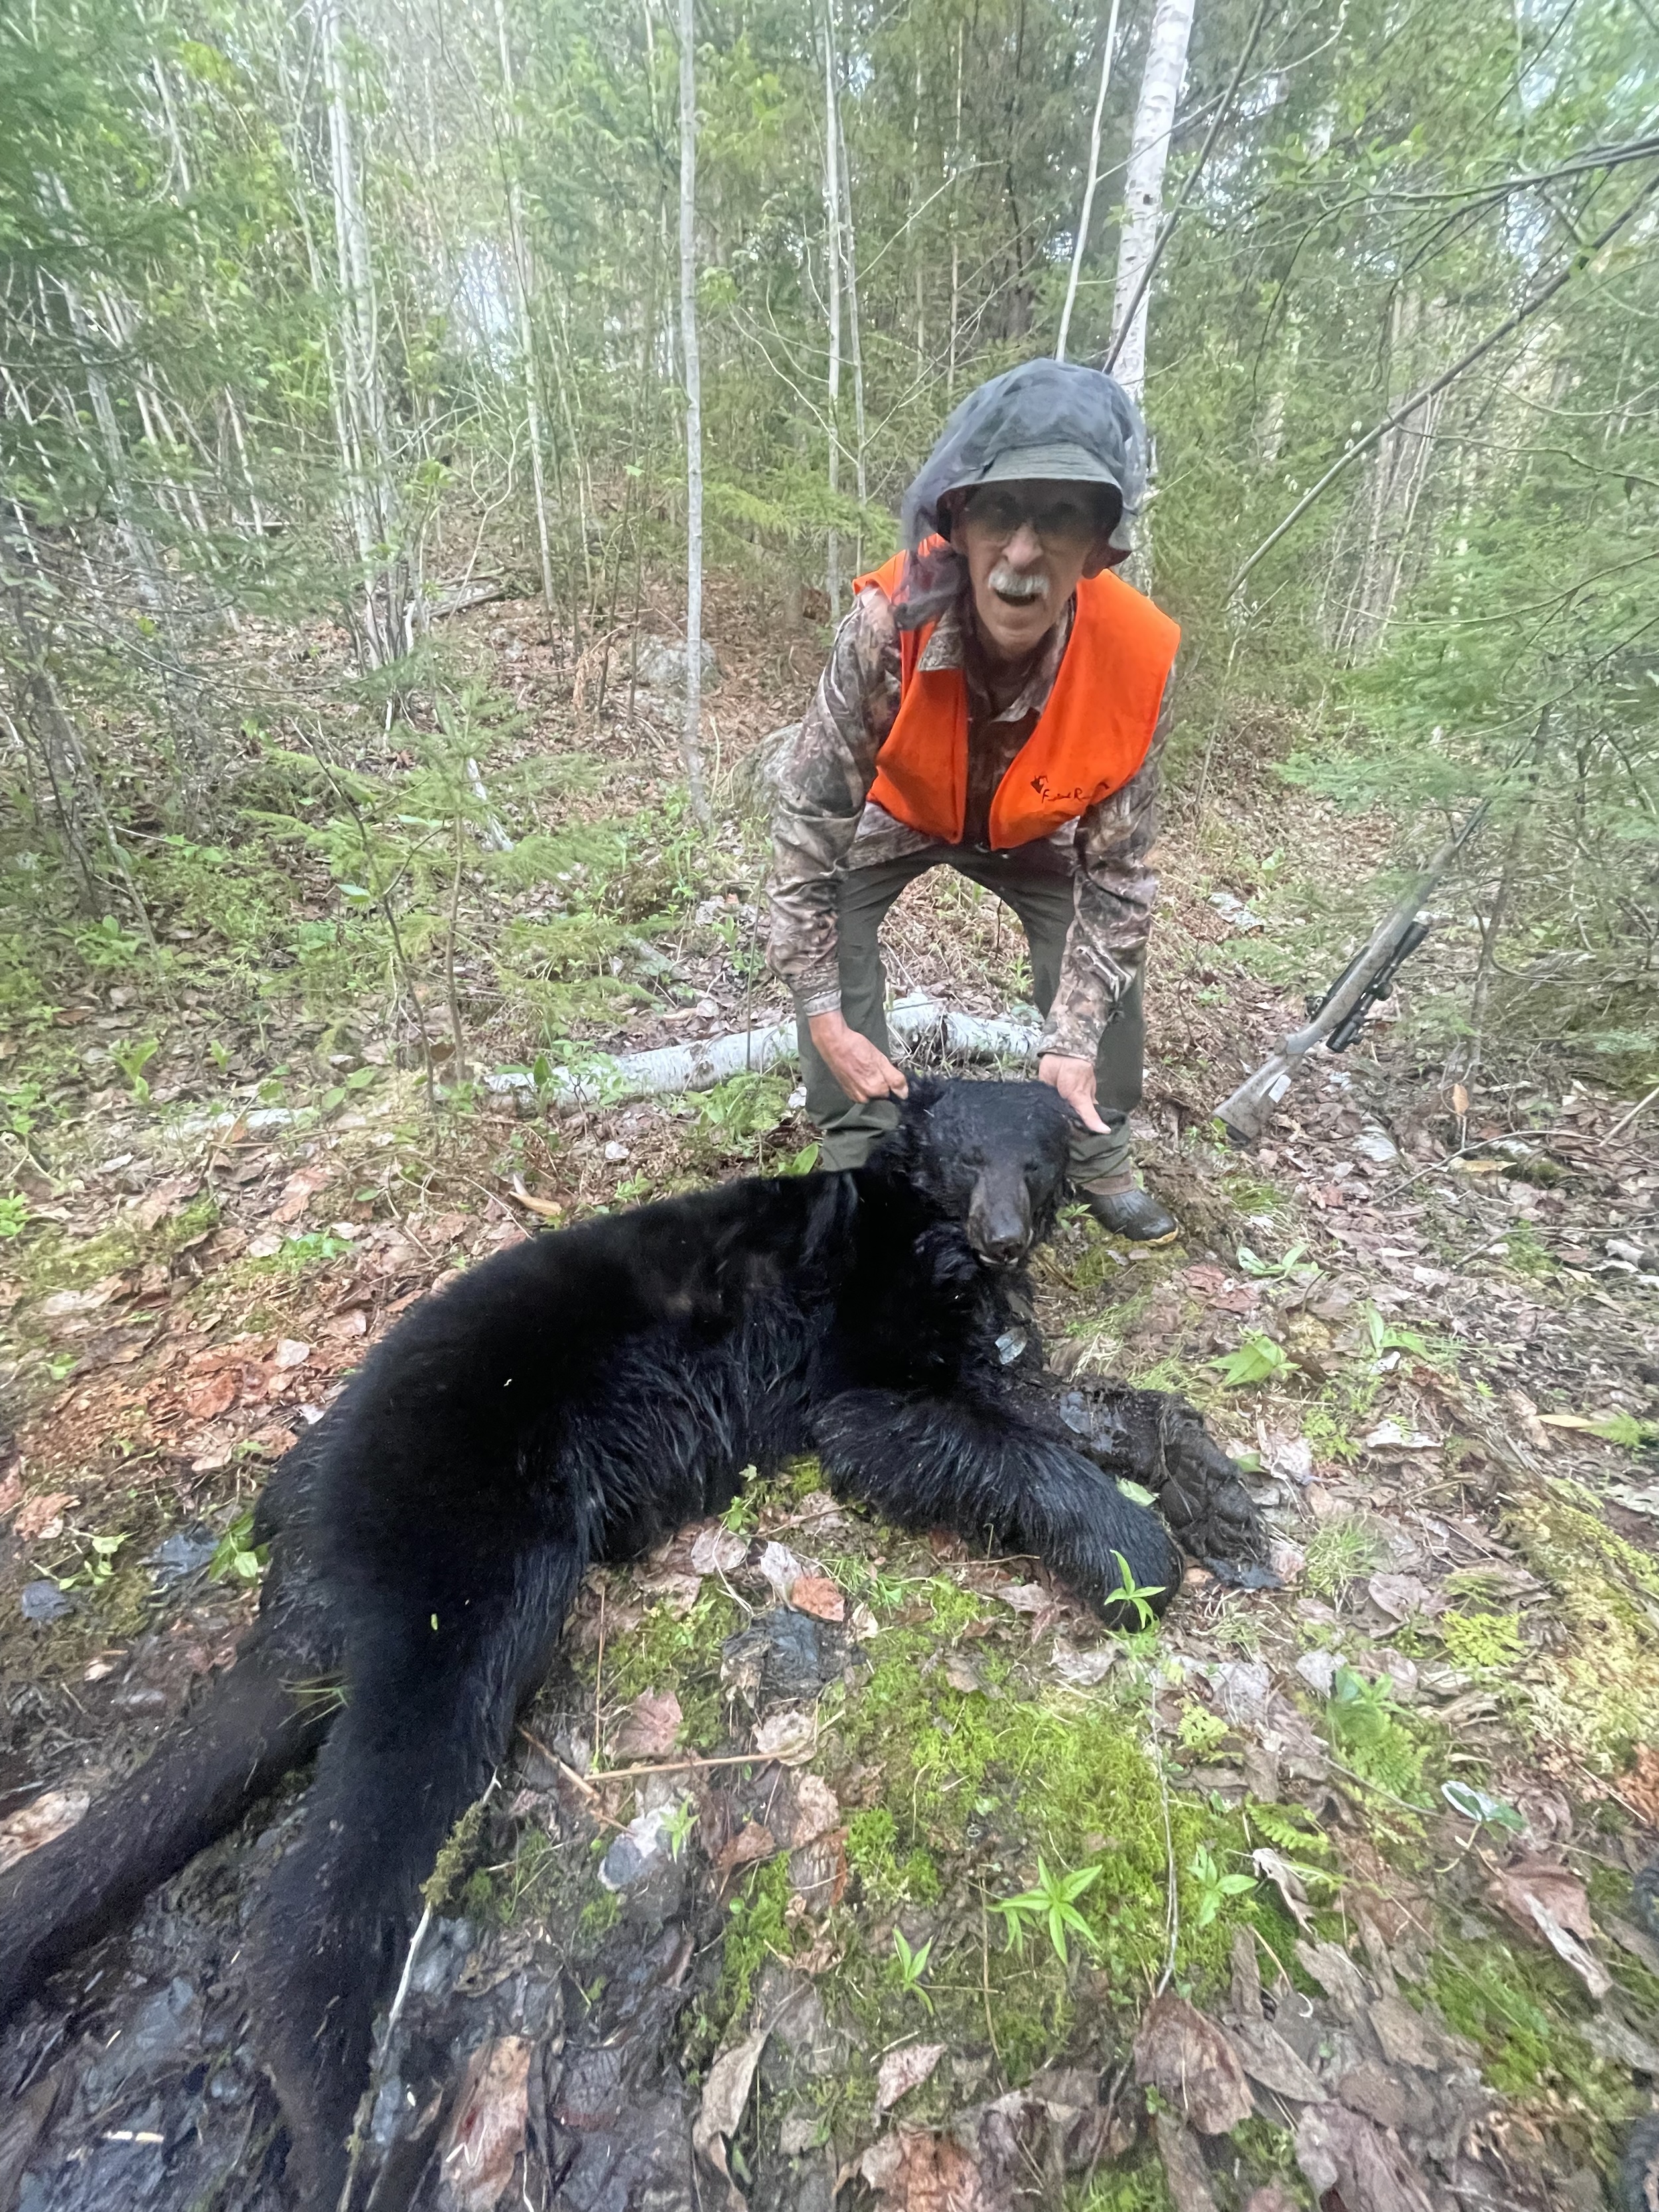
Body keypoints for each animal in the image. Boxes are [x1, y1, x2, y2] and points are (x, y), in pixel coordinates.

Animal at [0, 1077, 1255, 2198]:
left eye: (1037, 1164)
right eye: (964, 1161)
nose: (1001, 1237)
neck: (917, 1232)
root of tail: (307, 1542)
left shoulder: (979, 1344)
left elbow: (1078, 1398)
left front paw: (1217, 1493)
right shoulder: (863, 1373)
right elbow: (974, 1436)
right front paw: (1134, 1550)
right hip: (463, 1567)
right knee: (351, 1857)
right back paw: (351, 2129)